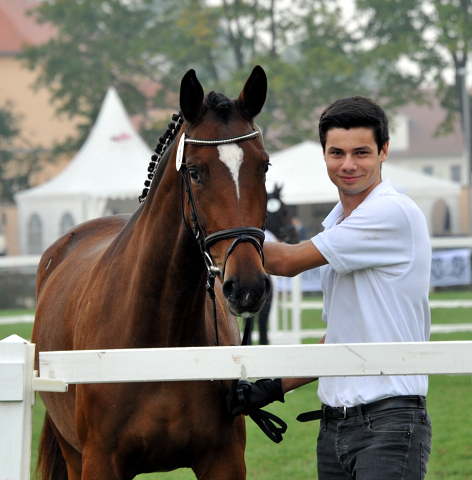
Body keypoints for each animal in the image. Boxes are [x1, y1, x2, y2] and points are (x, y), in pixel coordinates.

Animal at [34, 64, 272, 480]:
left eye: (264, 166)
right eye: (195, 172)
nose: (247, 286)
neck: (159, 339)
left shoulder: (223, 460)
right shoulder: (101, 462)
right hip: (72, 453)